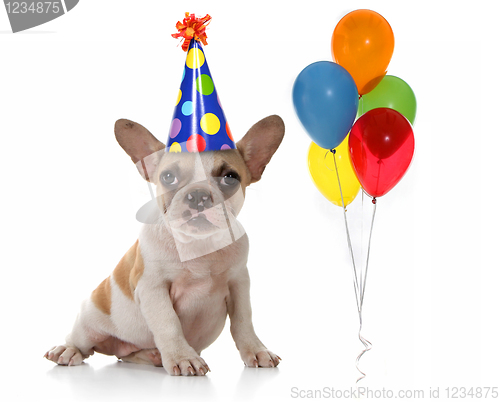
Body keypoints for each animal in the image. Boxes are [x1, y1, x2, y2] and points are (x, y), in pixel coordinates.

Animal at [43, 114, 286, 376]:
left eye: (230, 178)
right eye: (168, 177)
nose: (198, 195)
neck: (198, 246)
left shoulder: (239, 283)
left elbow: (243, 320)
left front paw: (256, 350)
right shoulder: (152, 287)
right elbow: (168, 322)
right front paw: (182, 357)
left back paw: (152, 355)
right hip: (90, 320)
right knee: (82, 342)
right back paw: (67, 350)